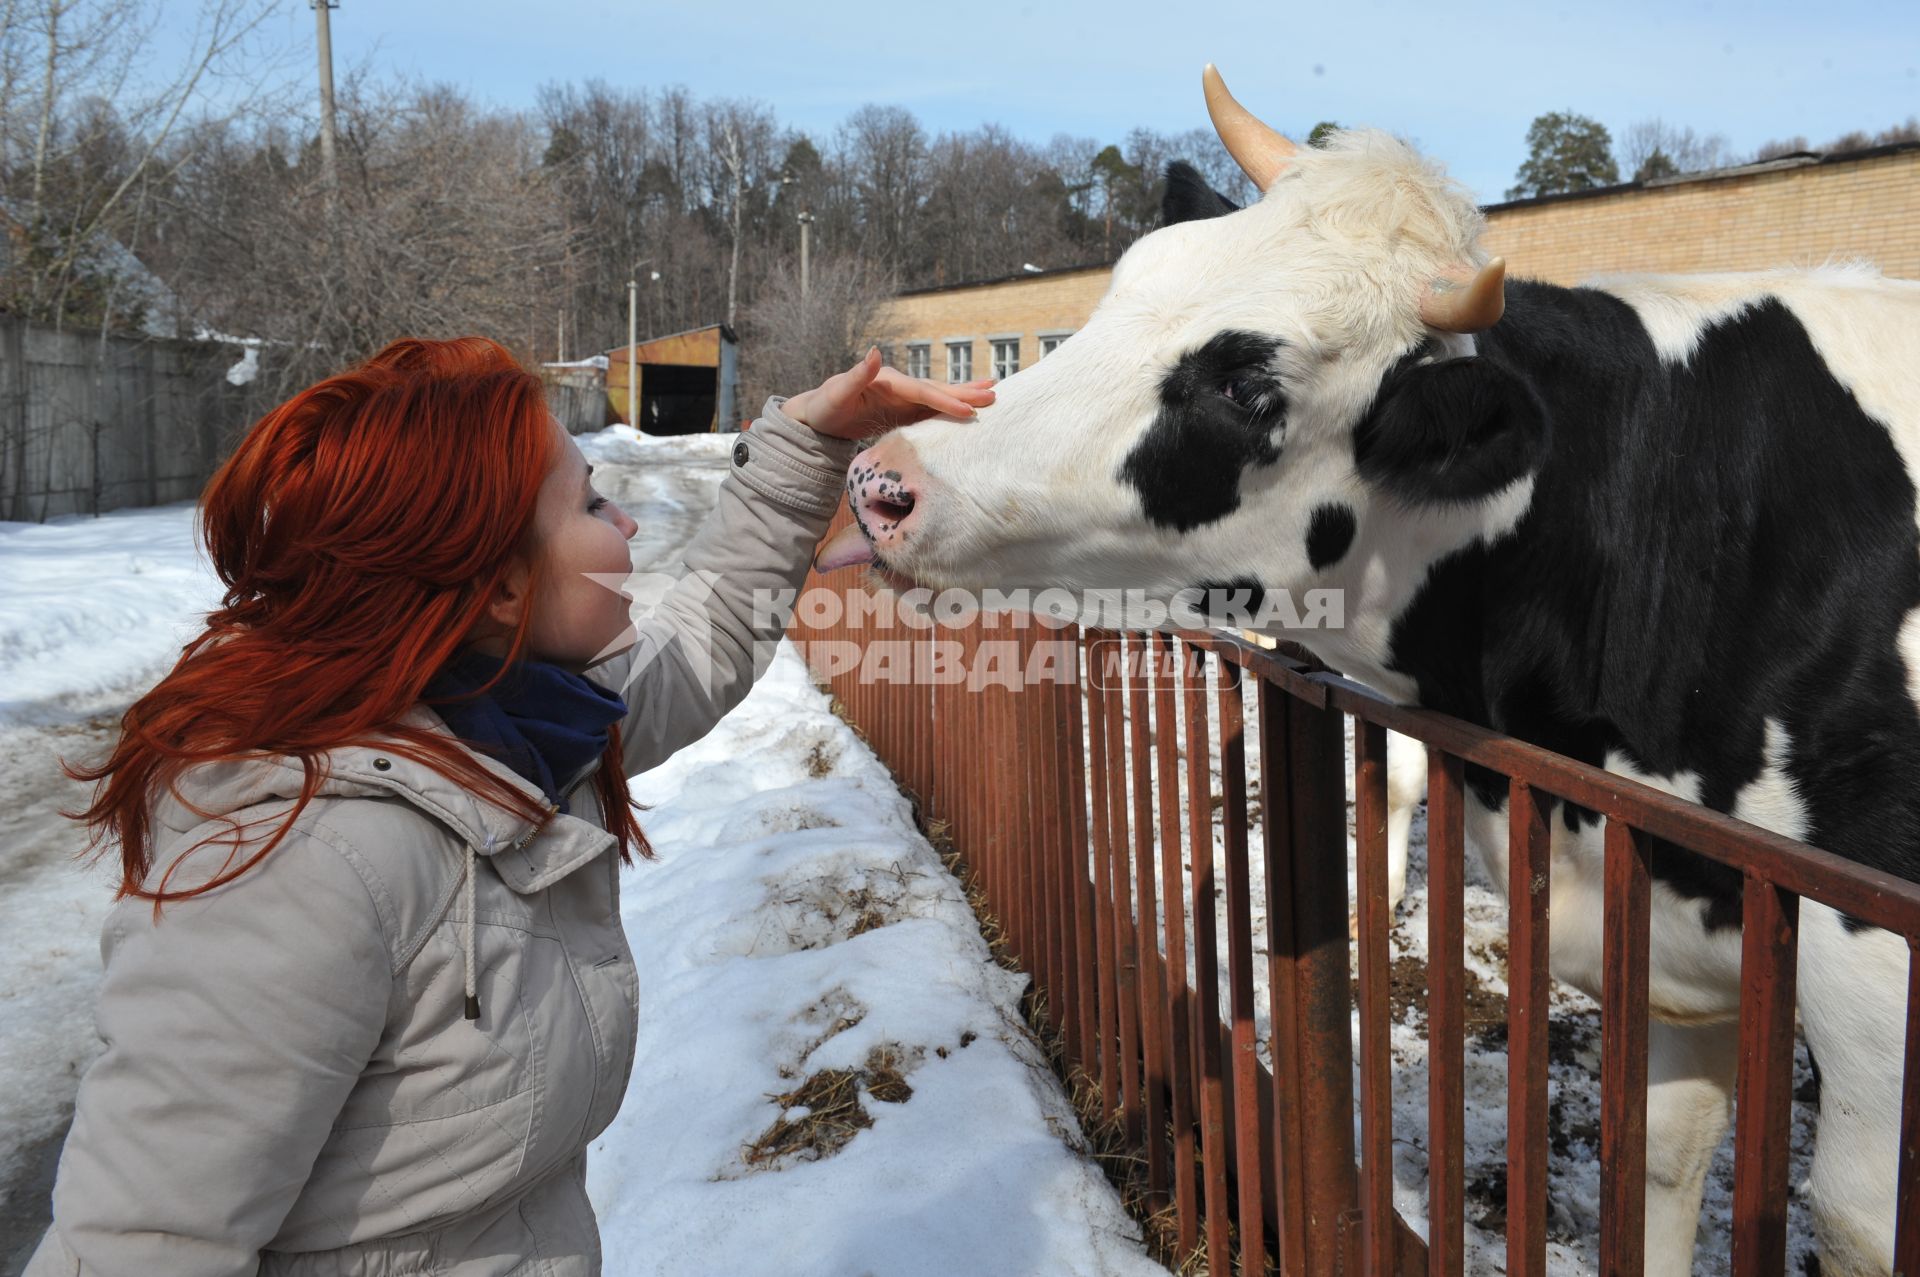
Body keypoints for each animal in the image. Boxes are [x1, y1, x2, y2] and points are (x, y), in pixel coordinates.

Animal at [817, 67, 1920, 1275]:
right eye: (1126, 282)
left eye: (1249, 389)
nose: (885, 480)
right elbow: (1657, 1166)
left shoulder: (1871, 982)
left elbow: (1852, 1219)